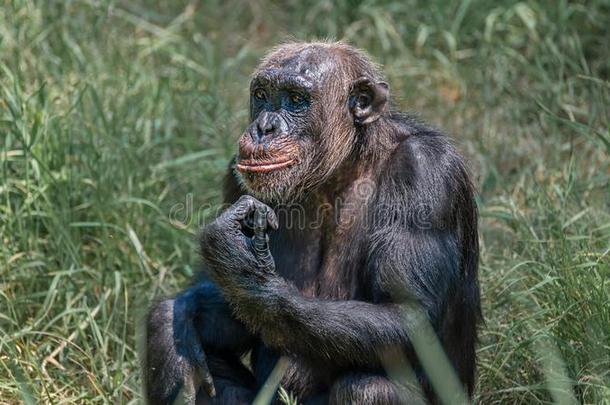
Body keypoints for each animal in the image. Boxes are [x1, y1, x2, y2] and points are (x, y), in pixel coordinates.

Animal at [142, 41, 480, 404]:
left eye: (295, 99)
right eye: (262, 95)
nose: (265, 127)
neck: (342, 168)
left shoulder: (426, 171)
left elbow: (410, 315)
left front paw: (242, 267)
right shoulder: (236, 177)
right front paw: (184, 312)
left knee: (368, 387)